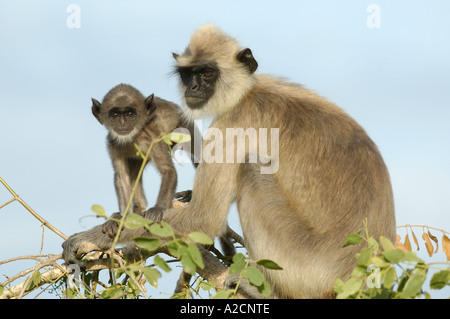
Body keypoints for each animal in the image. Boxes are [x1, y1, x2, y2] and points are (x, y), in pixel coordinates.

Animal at [62, 24, 394, 300]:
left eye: (207, 74)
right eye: (188, 74)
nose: (193, 88)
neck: (248, 93)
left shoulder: (235, 122)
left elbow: (204, 218)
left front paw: (95, 236)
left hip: (304, 268)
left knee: (251, 169)